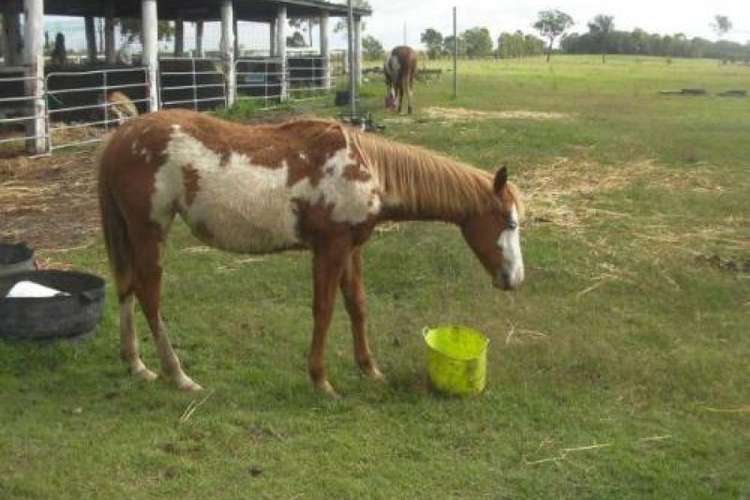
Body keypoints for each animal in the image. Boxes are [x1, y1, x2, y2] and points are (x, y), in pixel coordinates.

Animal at [97, 107, 524, 396]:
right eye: (510, 222)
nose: (515, 279)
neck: (366, 168)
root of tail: (121, 136)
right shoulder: (330, 249)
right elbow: (325, 310)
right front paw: (321, 381)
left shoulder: (351, 248)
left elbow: (357, 305)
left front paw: (370, 370)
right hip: (150, 232)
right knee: (149, 296)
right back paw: (178, 375)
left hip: (131, 235)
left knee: (126, 288)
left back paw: (137, 365)